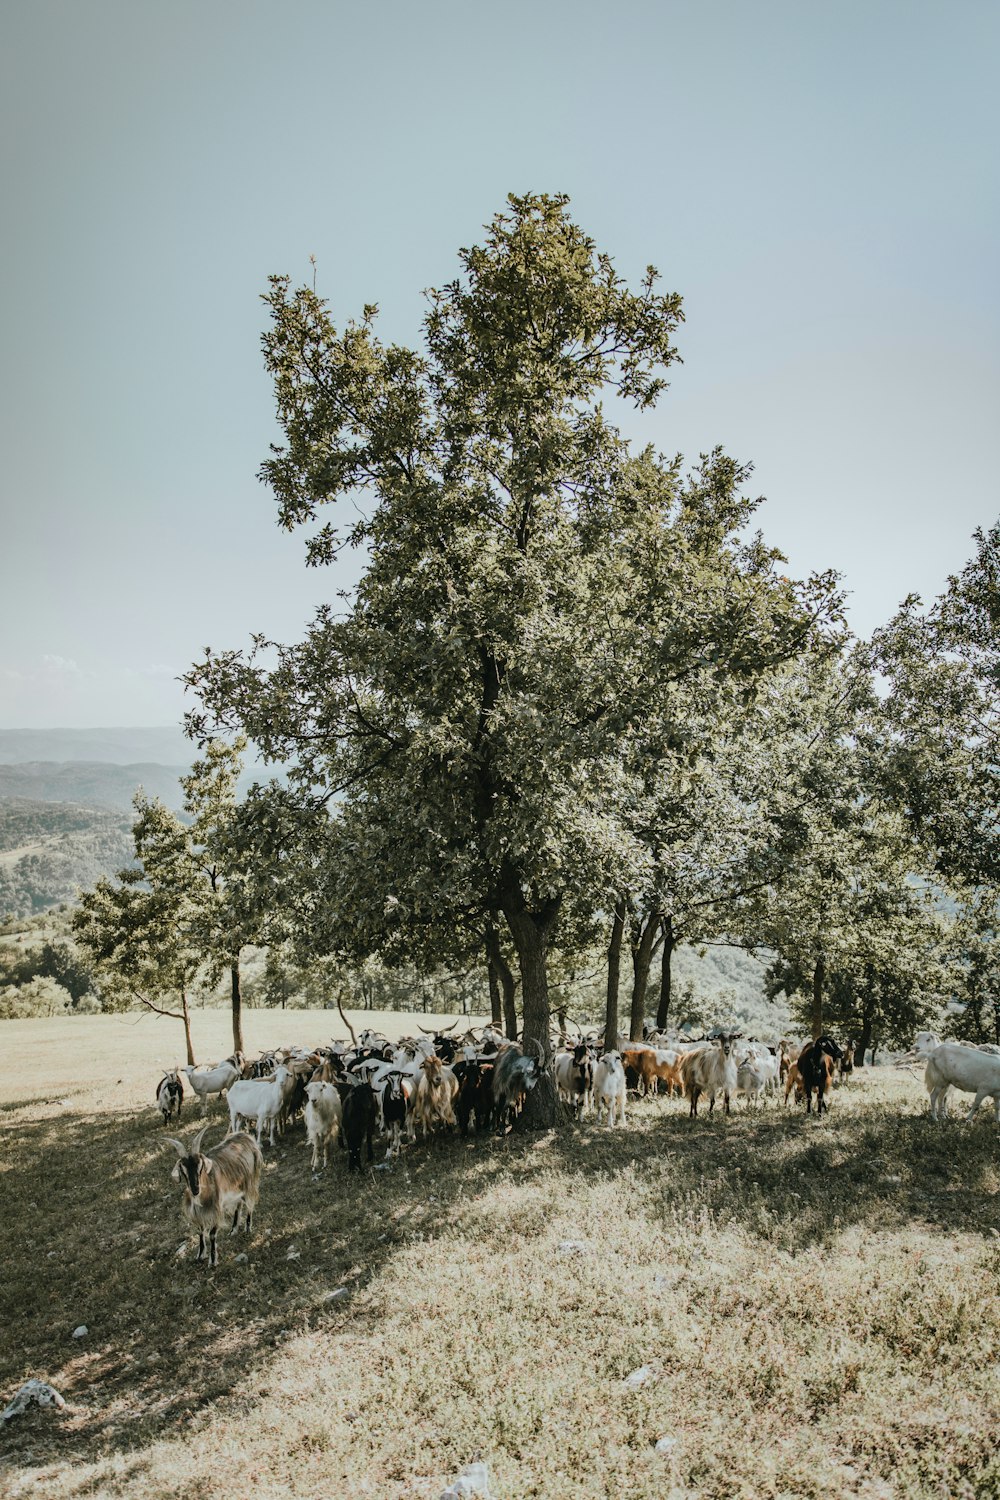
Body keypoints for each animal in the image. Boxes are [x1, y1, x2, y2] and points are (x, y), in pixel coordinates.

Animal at [163, 1128, 262, 1266]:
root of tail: (246, 1136)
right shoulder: (198, 1214)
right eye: (183, 1169)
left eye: (200, 1166)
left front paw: (213, 1260)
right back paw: (233, 1229)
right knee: (239, 1204)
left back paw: (247, 1229)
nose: (195, 1190)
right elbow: (200, 1232)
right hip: (238, 1186)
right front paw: (200, 1255)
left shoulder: (216, 1209)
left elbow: (211, 1234)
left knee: (249, 1203)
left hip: (250, 1181)